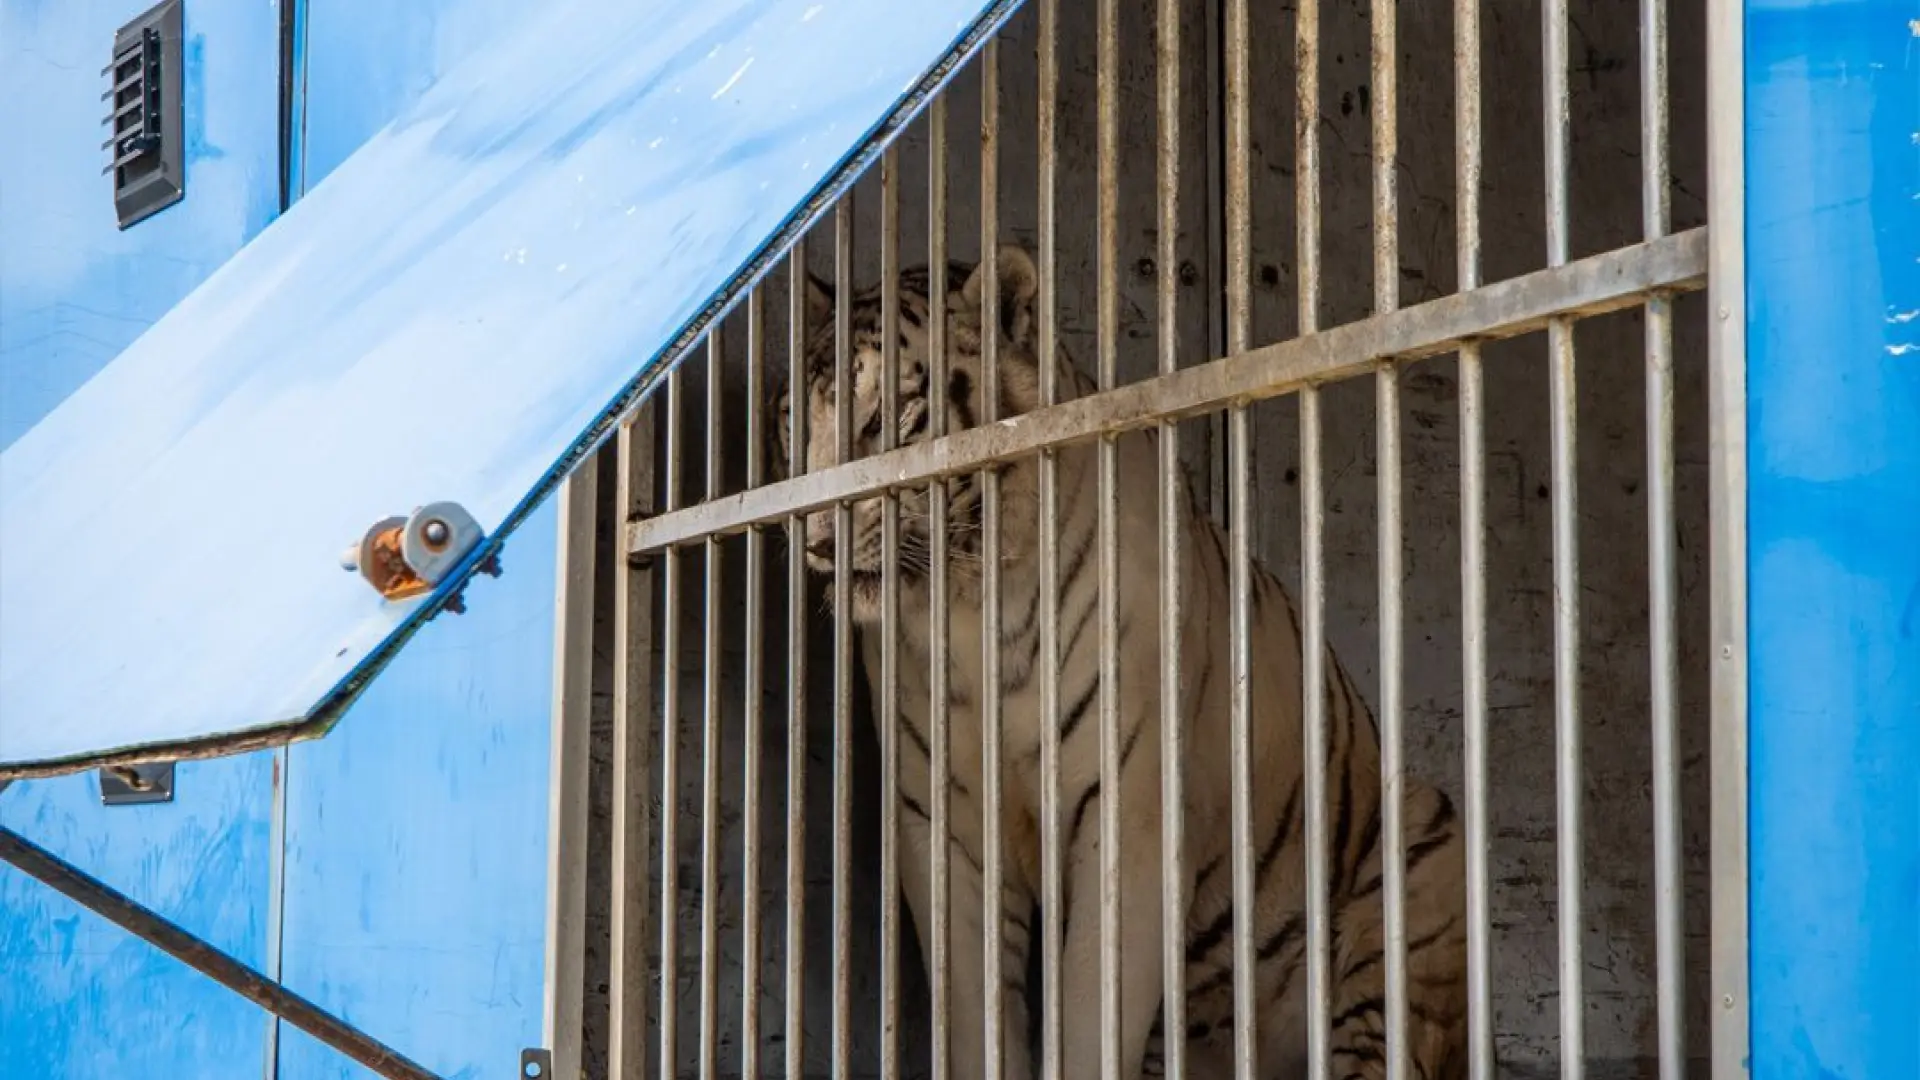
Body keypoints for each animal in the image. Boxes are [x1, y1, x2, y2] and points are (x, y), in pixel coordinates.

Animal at [770, 242, 1468, 1080]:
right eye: (793, 420)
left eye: (886, 418)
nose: (813, 539)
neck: (969, 607)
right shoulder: (943, 826)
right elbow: (973, 1012)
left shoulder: (1126, 811)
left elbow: (1090, 1019)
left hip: (1415, 862)